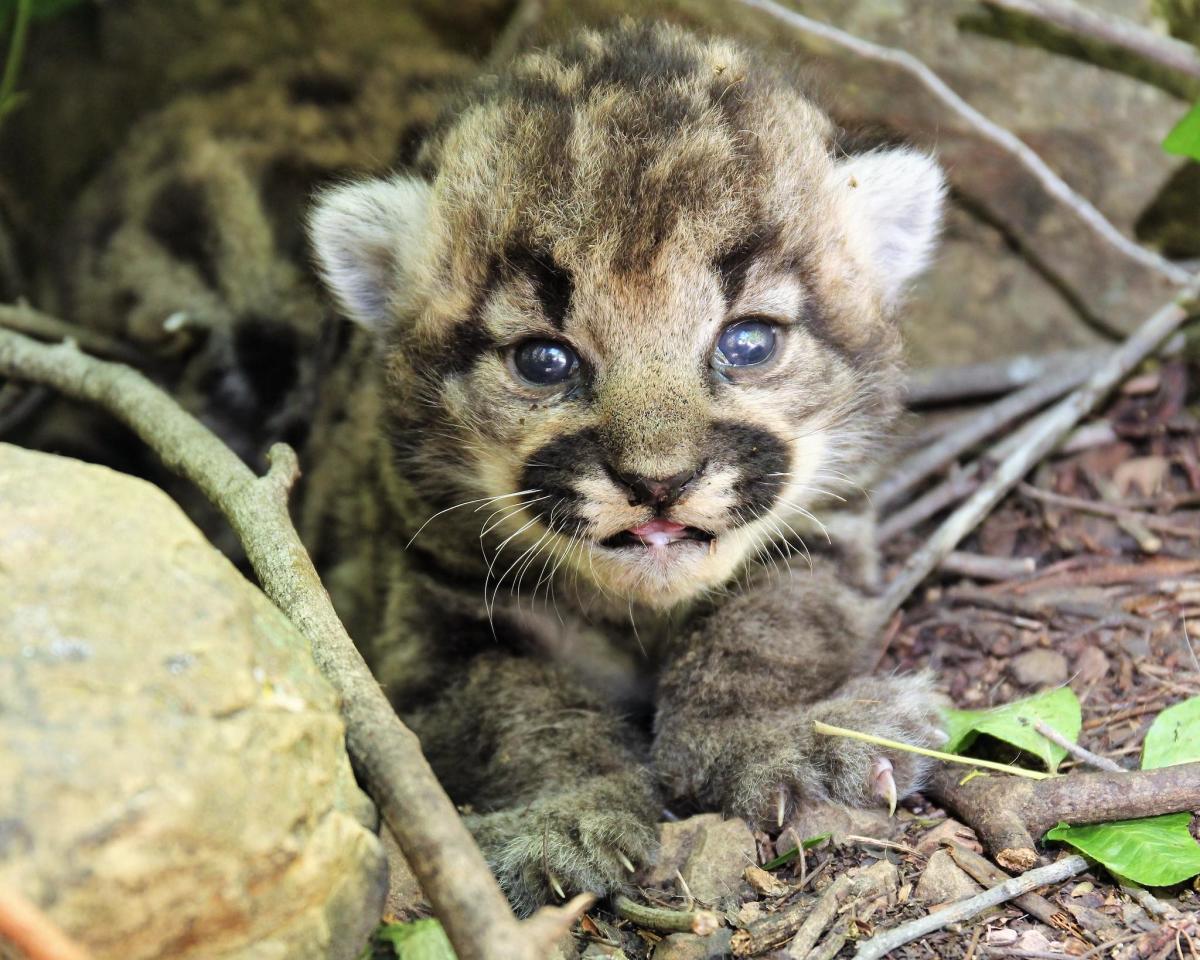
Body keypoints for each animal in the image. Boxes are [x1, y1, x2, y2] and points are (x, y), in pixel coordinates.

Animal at [307, 18, 945, 912]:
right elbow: (513, 707)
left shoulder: (823, 532)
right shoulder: (427, 603)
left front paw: (786, 739)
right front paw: (566, 817)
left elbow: (767, 630)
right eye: (543, 360)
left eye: (749, 341)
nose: (658, 481)